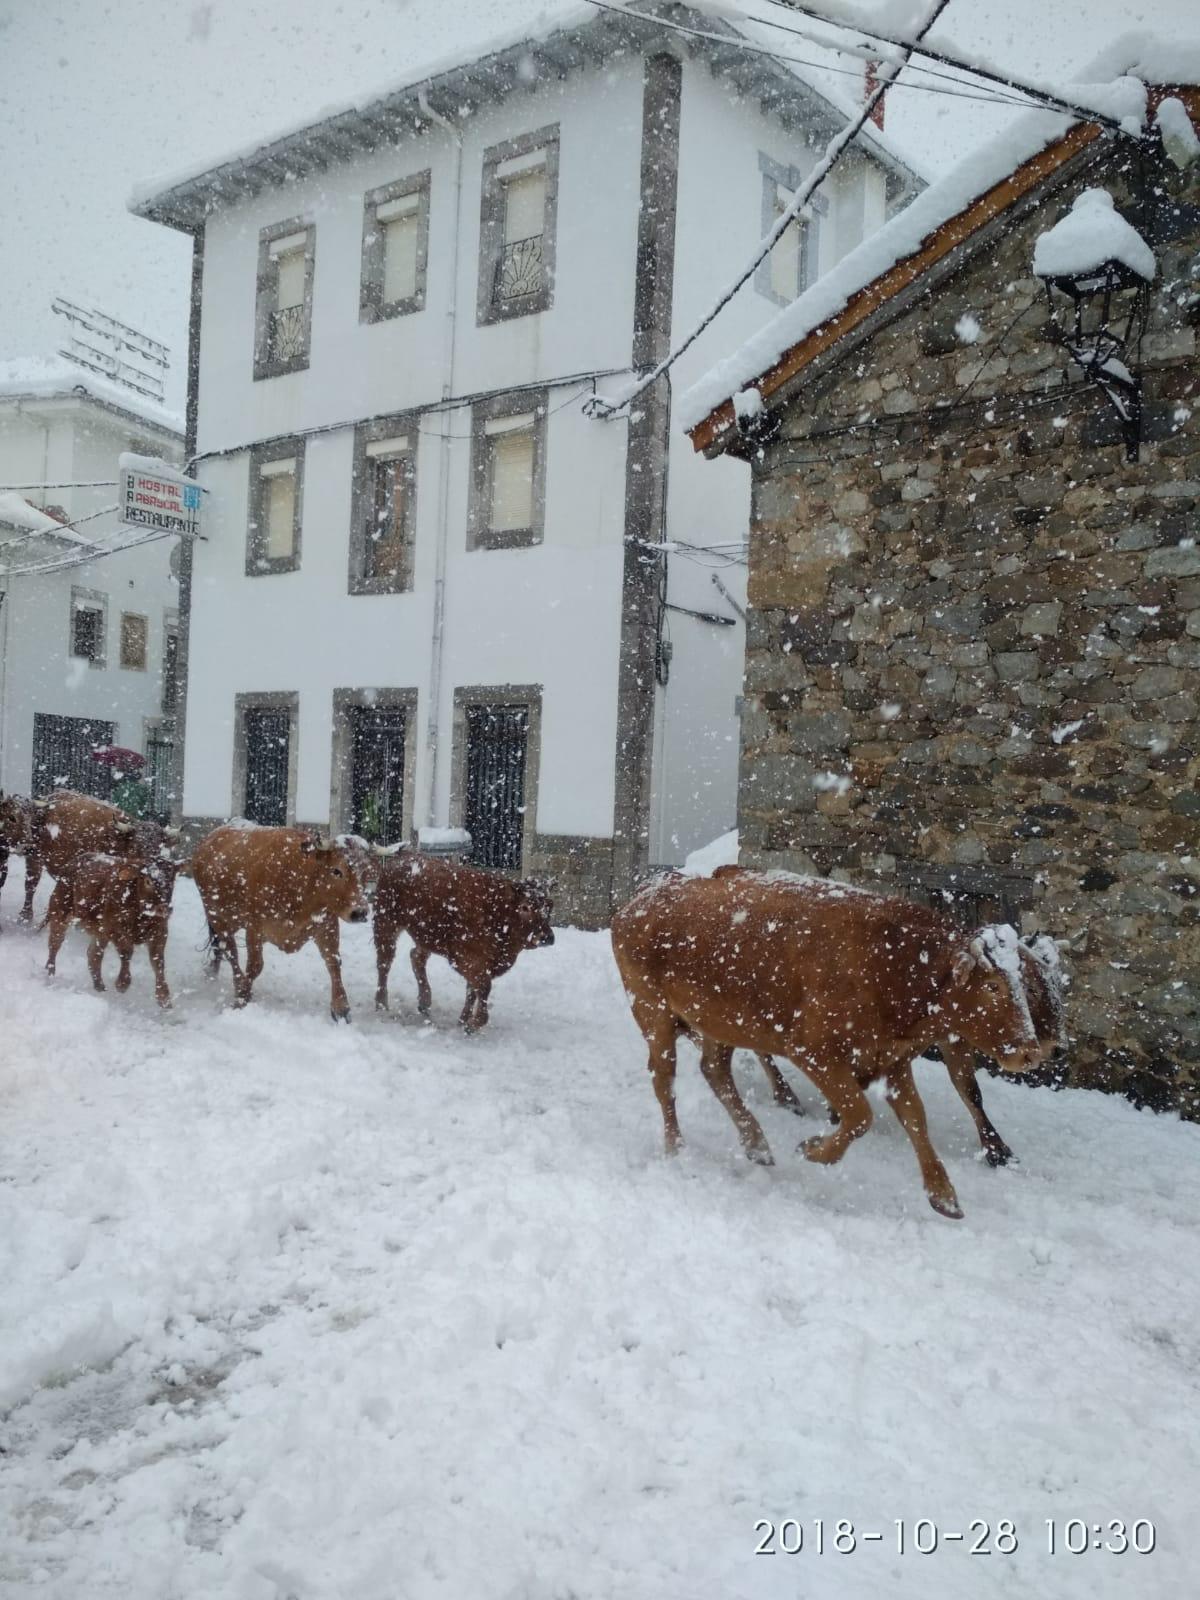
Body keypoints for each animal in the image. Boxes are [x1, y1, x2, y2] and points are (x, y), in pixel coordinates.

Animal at [190, 819, 369, 1017]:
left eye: (365, 872)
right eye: (337, 871)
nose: (360, 912)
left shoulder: (327, 925)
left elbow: (334, 962)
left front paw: (341, 1009)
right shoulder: (254, 928)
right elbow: (255, 966)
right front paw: (242, 998)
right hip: (218, 918)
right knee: (230, 952)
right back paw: (237, 986)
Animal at [374, 857, 556, 1030]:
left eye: (549, 906)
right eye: (525, 907)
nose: (547, 937)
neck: (496, 911)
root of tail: (398, 860)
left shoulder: (483, 963)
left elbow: (472, 991)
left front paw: (463, 1021)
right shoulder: (466, 959)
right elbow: (483, 987)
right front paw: (473, 1024)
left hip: (426, 937)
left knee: (416, 957)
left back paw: (424, 1002)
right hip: (386, 924)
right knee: (385, 962)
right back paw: (381, 1004)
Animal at [614, 870, 1068, 1216]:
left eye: (1024, 984)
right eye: (993, 985)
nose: (1032, 1052)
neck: (893, 963)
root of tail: (646, 893)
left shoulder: (892, 1061)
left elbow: (915, 1118)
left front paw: (944, 1196)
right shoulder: (815, 1053)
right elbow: (859, 1114)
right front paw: (813, 1150)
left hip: (719, 1026)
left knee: (715, 1071)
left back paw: (757, 1145)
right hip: (654, 1016)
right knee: (665, 1081)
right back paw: (677, 1149)